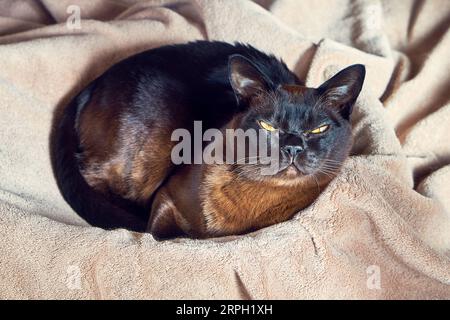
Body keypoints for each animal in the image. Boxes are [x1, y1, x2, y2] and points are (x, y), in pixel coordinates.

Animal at [51, 40, 366, 240]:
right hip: (150, 158)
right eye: (268, 125)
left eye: (318, 130)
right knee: (94, 179)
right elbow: (161, 235)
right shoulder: (166, 199)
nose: (292, 147)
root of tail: (90, 85)